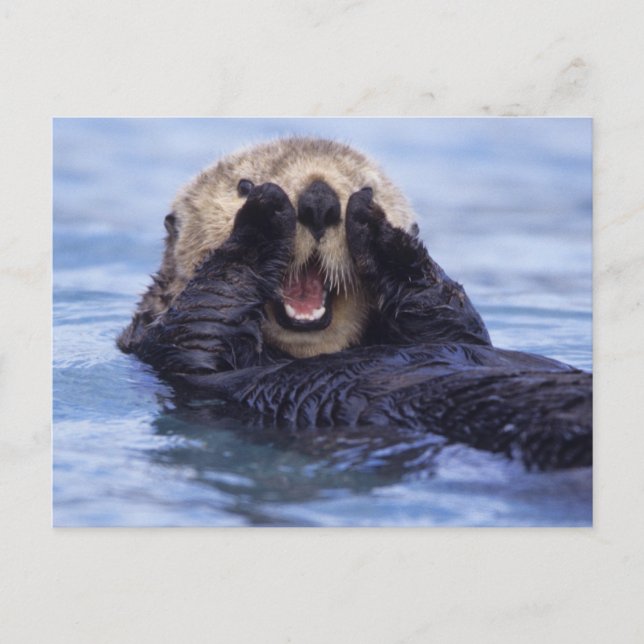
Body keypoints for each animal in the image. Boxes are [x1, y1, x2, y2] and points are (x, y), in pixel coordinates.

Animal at [119, 137, 591, 471]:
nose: (319, 200)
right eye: (242, 185)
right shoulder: (167, 347)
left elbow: (452, 316)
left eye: (365, 185)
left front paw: (379, 229)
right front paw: (263, 215)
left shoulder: (456, 332)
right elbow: (203, 317)